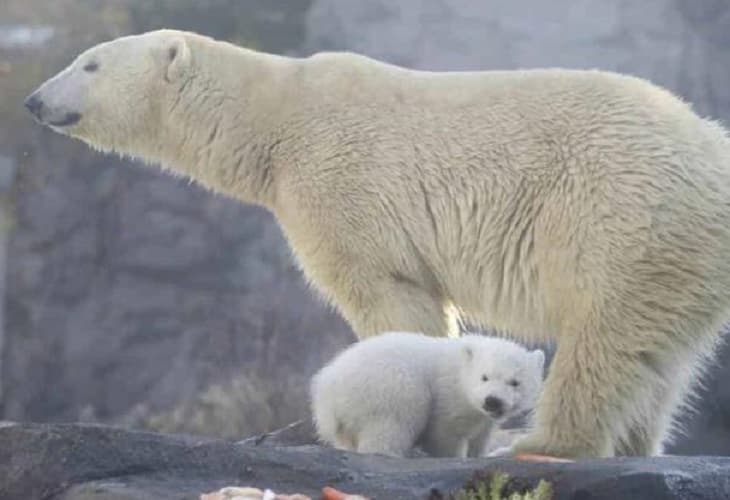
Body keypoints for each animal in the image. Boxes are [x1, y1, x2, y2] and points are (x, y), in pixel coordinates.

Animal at [25, 29, 728, 458]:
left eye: (89, 63)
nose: (32, 101)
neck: (278, 120)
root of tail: (712, 151)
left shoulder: (342, 183)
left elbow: (386, 293)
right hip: (681, 258)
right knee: (659, 358)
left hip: (620, 216)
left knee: (600, 341)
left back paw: (538, 442)